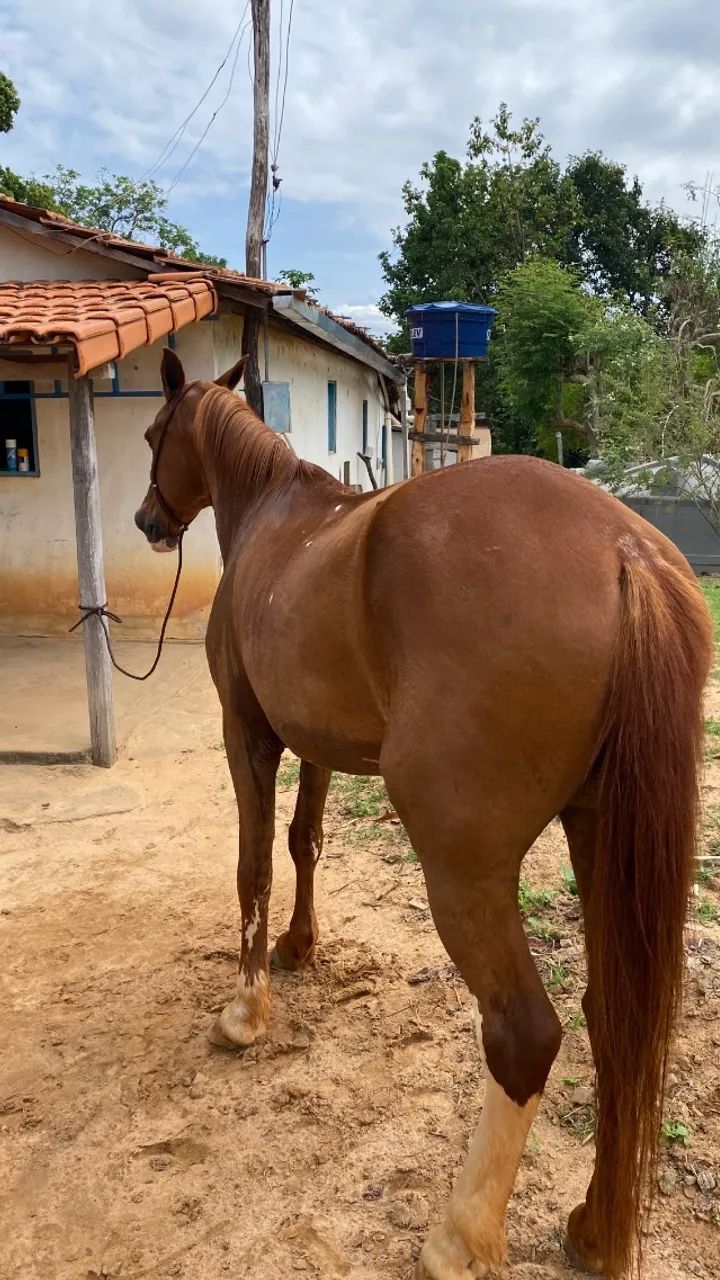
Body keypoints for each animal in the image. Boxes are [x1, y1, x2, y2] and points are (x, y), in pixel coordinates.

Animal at [134, 348, 712, 1280]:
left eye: (156, 434)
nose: (149, 517)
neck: (273, 520)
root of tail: (624, 552)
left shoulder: (248, 735)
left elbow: (253, 863)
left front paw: (245, 1012)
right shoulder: (318, 742)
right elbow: (305, 841)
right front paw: (300, 948)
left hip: (464, 870)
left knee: (525, 1036)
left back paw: (461, 1237)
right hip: (600, 837)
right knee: (614, 1019)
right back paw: (596, 1229)